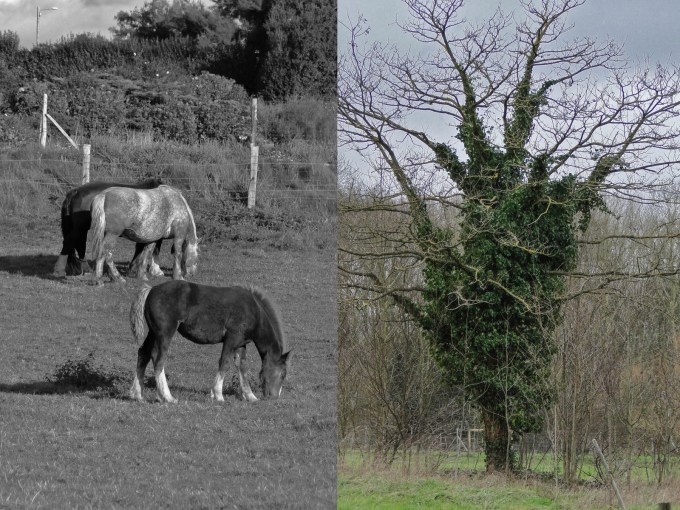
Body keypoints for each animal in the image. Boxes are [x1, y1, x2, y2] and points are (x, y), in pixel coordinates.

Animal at [128, 280, 291, 403]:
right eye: (283, 374)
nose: (274, 397)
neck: (253, 310)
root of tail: (151, 290)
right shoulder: (231, 339)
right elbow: (224, 363)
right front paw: (218, 395)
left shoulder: (241, 343)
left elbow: (242, 367)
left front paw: (251, 396)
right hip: (165, 333)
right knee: (158, 358)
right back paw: (168, 397)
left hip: (153, 332)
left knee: (143, 353)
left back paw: (137, 395)